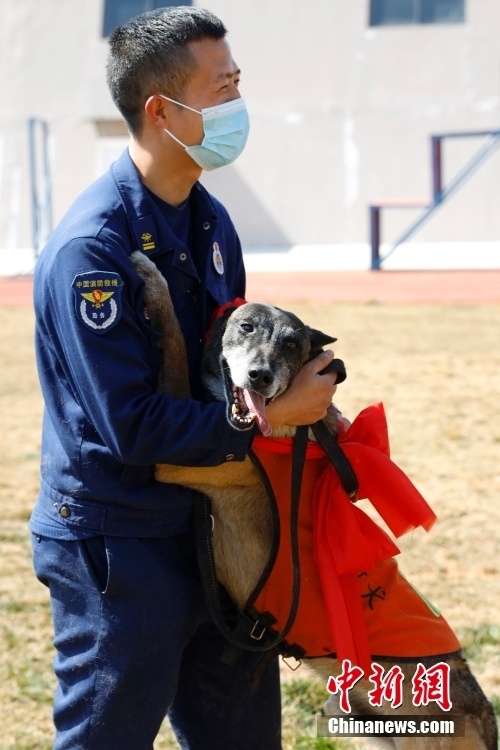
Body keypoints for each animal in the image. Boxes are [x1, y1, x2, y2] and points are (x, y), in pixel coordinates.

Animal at [131, 254, 498, 750]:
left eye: (291, 344)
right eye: (245, 326)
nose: (260, 376)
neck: (292, 433)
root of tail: (484, 712)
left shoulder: (172, 461)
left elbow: (172, 338)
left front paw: (152, 280)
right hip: (356, 723)